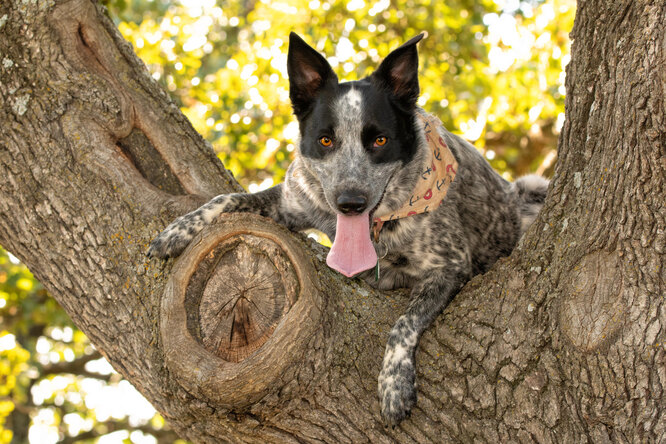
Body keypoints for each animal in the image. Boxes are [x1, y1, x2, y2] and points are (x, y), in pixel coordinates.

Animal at [148, 31, 548, 426]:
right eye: (325, 140)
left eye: (380, 140)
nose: (351, 202)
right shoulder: (291, 202)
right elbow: (226, 197)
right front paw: (176, 232)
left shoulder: (450, 267)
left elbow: (403, 323)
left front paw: (393, 385)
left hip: (532, 188)